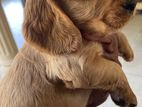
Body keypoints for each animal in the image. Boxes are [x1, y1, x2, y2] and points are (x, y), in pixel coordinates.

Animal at [0, 0, 138, 107]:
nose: (133, 3)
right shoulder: (79, 65)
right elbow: (115, 69)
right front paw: (130, 96)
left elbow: (111, 31)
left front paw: (128, 51)